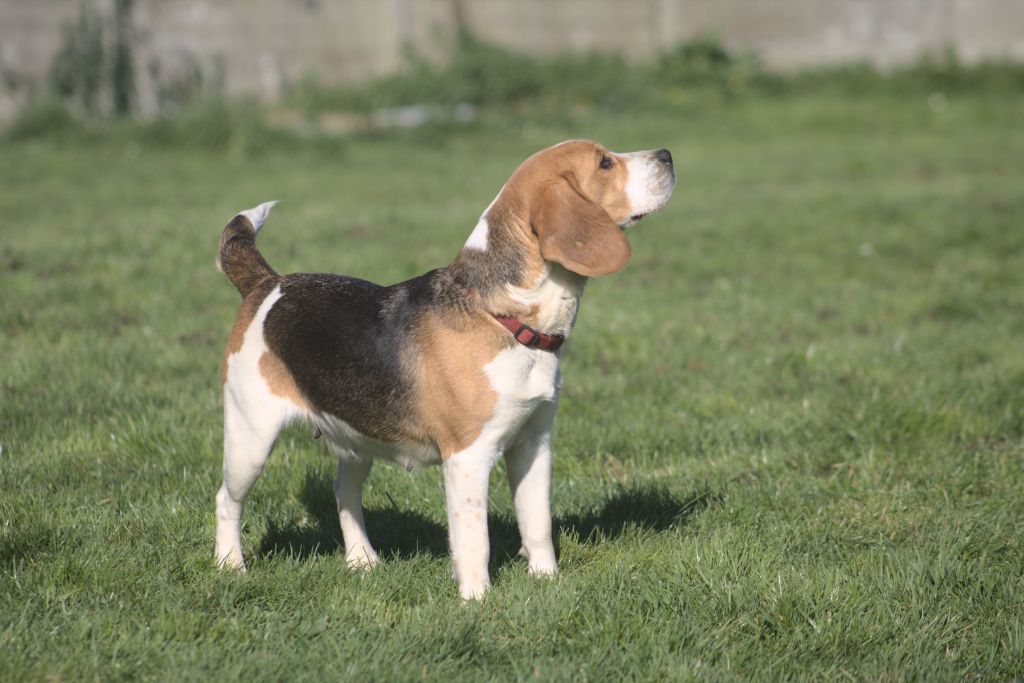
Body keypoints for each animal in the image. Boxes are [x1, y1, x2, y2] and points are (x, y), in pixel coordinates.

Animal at [215, 139, 675, 598]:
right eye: (604, 163)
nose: (667, 155)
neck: (500, 315)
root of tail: (267, 284)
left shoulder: (534, 443)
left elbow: (538, 523)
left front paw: (547, 582)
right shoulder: (468, 456)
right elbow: (475, 539)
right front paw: (477, 600)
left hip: (358, 435)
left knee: (344, 492)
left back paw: (363, 561)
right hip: (250, 437)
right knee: (226, 500)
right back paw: (230, 567)